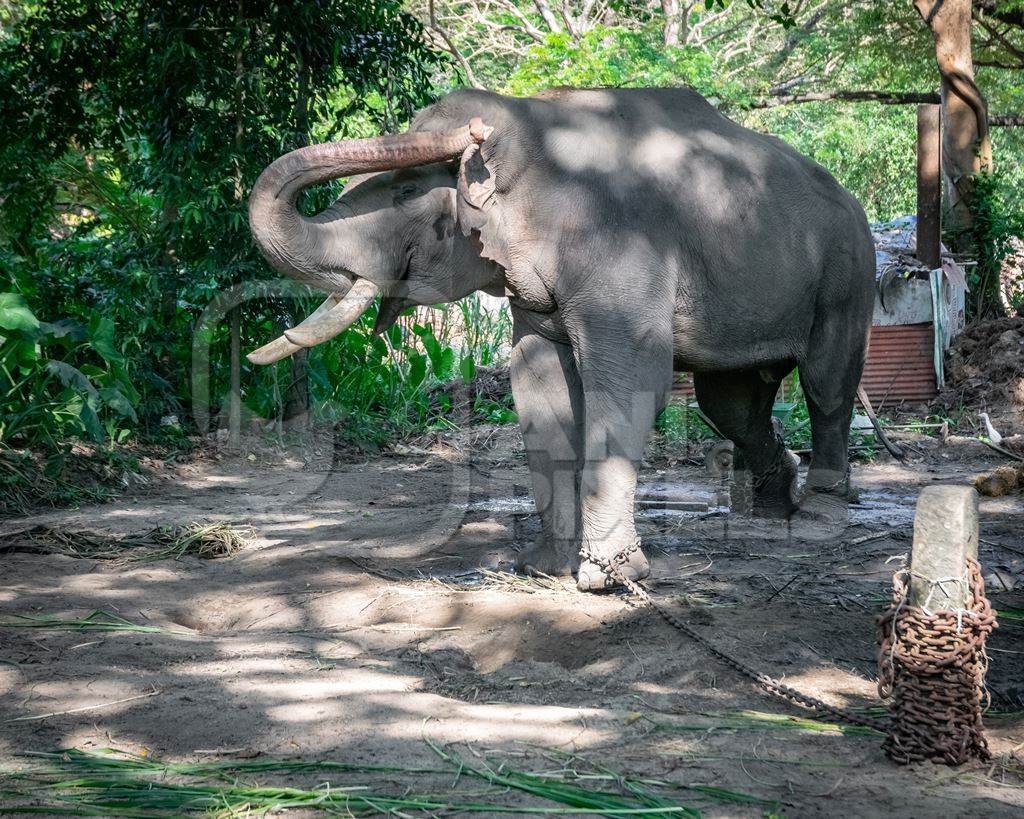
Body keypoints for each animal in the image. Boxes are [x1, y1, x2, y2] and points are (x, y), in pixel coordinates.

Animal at [245, 86, 872, 593]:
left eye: (403, 194)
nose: (474, 128)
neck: (536, 124)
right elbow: (538, 385)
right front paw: (543, 568)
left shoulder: (623, 252)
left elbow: (631, 385)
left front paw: (607, 577)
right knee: (732, 403)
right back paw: (773, 501)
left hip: (847, 274)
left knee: (826, 384)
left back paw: (818, 517)